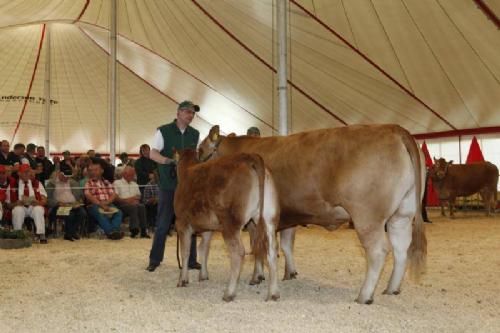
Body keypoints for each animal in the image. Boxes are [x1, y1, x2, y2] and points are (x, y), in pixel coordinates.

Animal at [174, 148, 280, 300]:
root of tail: (249, 156)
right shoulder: (207, 228)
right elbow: (204, 249)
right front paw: (203, 275)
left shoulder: (182, 223)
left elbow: (185, 252)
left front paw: (182, 280)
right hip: (269, 219)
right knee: (272, 250)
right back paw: (273, 293)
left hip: (230, 223)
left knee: (238, 252)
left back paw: (229, 293)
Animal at [201, 123, 428, 302]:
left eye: (200, 149)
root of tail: (394, 128)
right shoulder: (288, 216)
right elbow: (286, 245)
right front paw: (290, 272)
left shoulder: (255, 219)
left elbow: (258, 247)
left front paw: (257, 277)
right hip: (402, 214)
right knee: (401, 249)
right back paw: (392, 289)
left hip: (368, 216)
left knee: (378, 251)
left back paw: (364, 296)